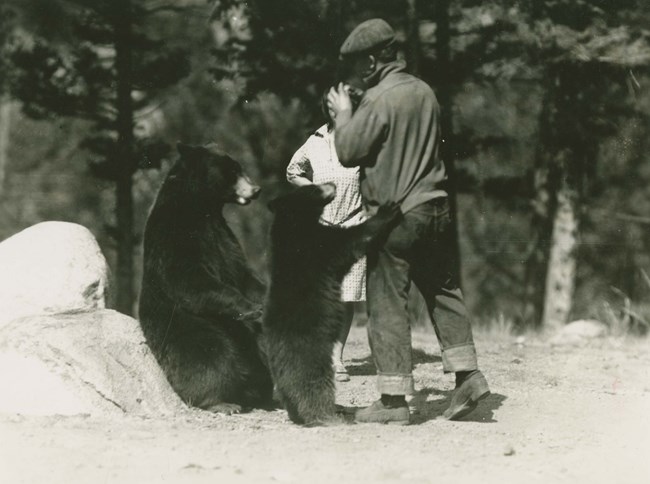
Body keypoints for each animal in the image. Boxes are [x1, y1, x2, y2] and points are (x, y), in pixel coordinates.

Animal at [139, 142, 274, 414]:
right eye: (233, 171)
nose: (256, 189)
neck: (202, 206)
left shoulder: (223, 234)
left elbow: (242, 273)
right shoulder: (173, 233)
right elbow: (188, 277)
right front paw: (250, 308)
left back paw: (263, 396)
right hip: (186, 328)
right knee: (210, 355)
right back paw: (221, 401)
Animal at [260, 183, 398, 426]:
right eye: (314, 187)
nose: (333, 184)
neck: (293, 225)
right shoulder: (317, 245)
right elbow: (351, 240)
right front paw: (386, 211)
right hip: (310, 355)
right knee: (313, 387)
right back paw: (327, 416)